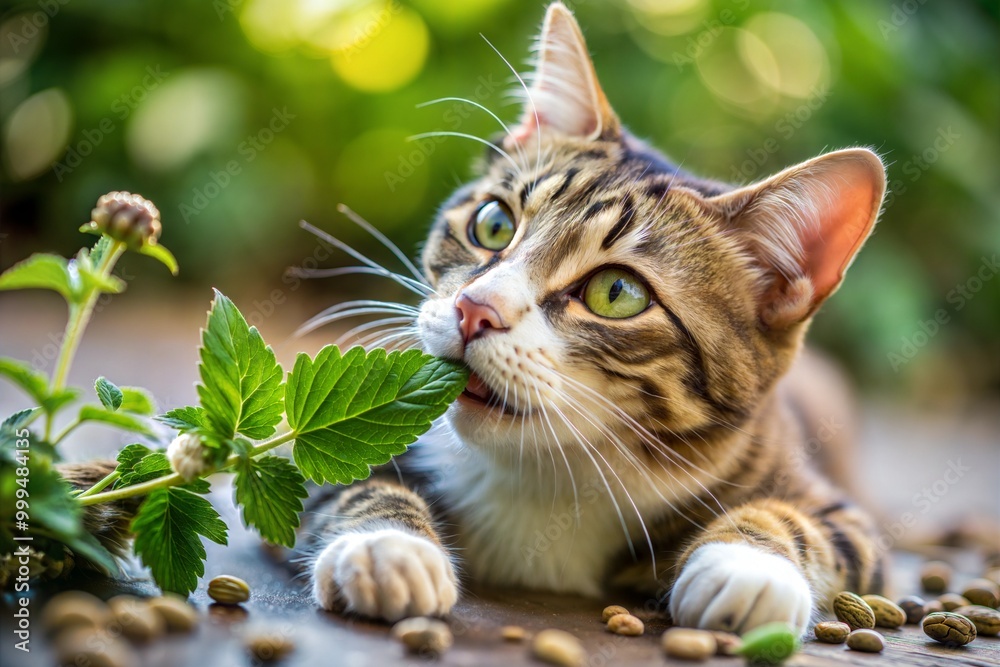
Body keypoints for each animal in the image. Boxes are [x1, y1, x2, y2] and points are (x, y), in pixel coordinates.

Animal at [300, 1, 888, 636]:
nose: (474, 309)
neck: (550, 478)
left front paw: (747, 567)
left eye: (617, 292)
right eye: (493, 224)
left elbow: (814, 526)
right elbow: (344, 474)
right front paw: (387, 546)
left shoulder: (837, 510)